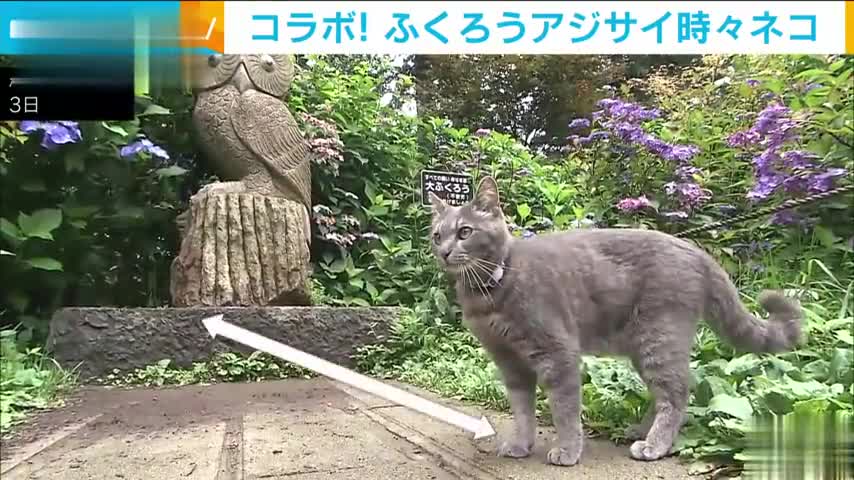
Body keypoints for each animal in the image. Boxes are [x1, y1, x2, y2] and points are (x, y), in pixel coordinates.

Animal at [432, 176, 804, 464]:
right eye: (437, 234)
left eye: (465, 231)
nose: (444, 251)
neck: (491, 288)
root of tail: (696, 252)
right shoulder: (510, 361)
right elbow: (522, 410)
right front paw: (521, 445)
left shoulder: (558, 352)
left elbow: (564, 409)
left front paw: (567, 451)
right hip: (644, 345)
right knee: (665, 392)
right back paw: (641, 431)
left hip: (659, 336)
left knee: (677, 393)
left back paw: (654, 445)